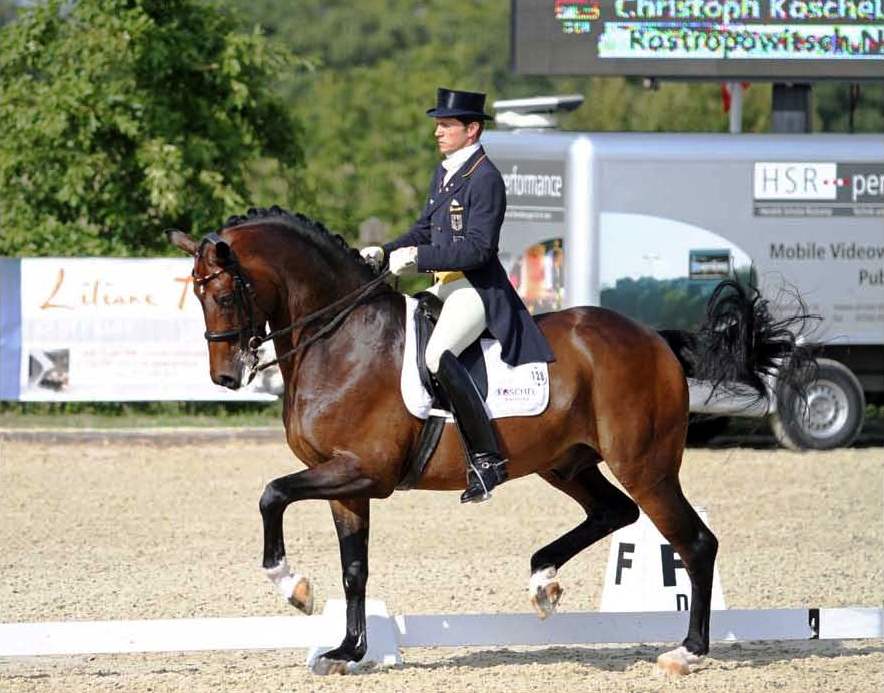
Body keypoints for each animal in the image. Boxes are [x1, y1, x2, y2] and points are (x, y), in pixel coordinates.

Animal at [167, 206, 811, 676]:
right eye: (196, 296)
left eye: (223, 294)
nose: (225, 378)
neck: (341, 338)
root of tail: (655, 339)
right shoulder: (345, 483)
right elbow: (355, 570)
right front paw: (347, 651)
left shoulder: (364, 471)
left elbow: (271, 494)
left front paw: (293, 587)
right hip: (566, 463)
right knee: (614, 512)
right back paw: (543, 581)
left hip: (645, 466)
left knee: (693, 541)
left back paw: (687, 651)